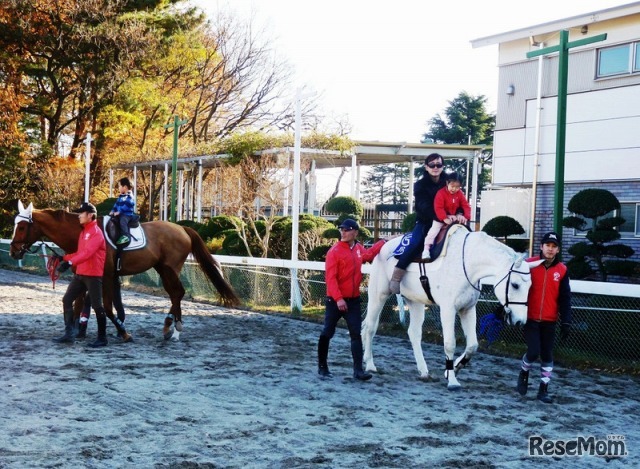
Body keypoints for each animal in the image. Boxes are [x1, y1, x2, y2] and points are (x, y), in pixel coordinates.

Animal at [10, 201, 240, 341]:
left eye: (21, 227)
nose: (13, 251)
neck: (82, 233)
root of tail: (181, 228)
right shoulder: (86, 275)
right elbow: (78, 304)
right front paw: (76, 330)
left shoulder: (105, 276)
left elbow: (105, 307)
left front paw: (121, 331)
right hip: (162, 269)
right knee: (176, 294)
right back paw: (172, 327)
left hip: (170, 269)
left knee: (177, 293)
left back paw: (172, 327)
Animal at [362, 227, 543, 390]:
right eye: (515, 285)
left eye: (530, 287)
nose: (520, 321)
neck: (468, 262)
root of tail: (383, 245)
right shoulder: (448, 310)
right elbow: (450, 343)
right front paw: (452, 380)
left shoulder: (468, 309)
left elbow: (472, 345)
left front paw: (454, 368)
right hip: (378, 295)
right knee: (370, 327)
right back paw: (370, 364)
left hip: (415, 301)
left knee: (414, 333)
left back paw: (423, 371)